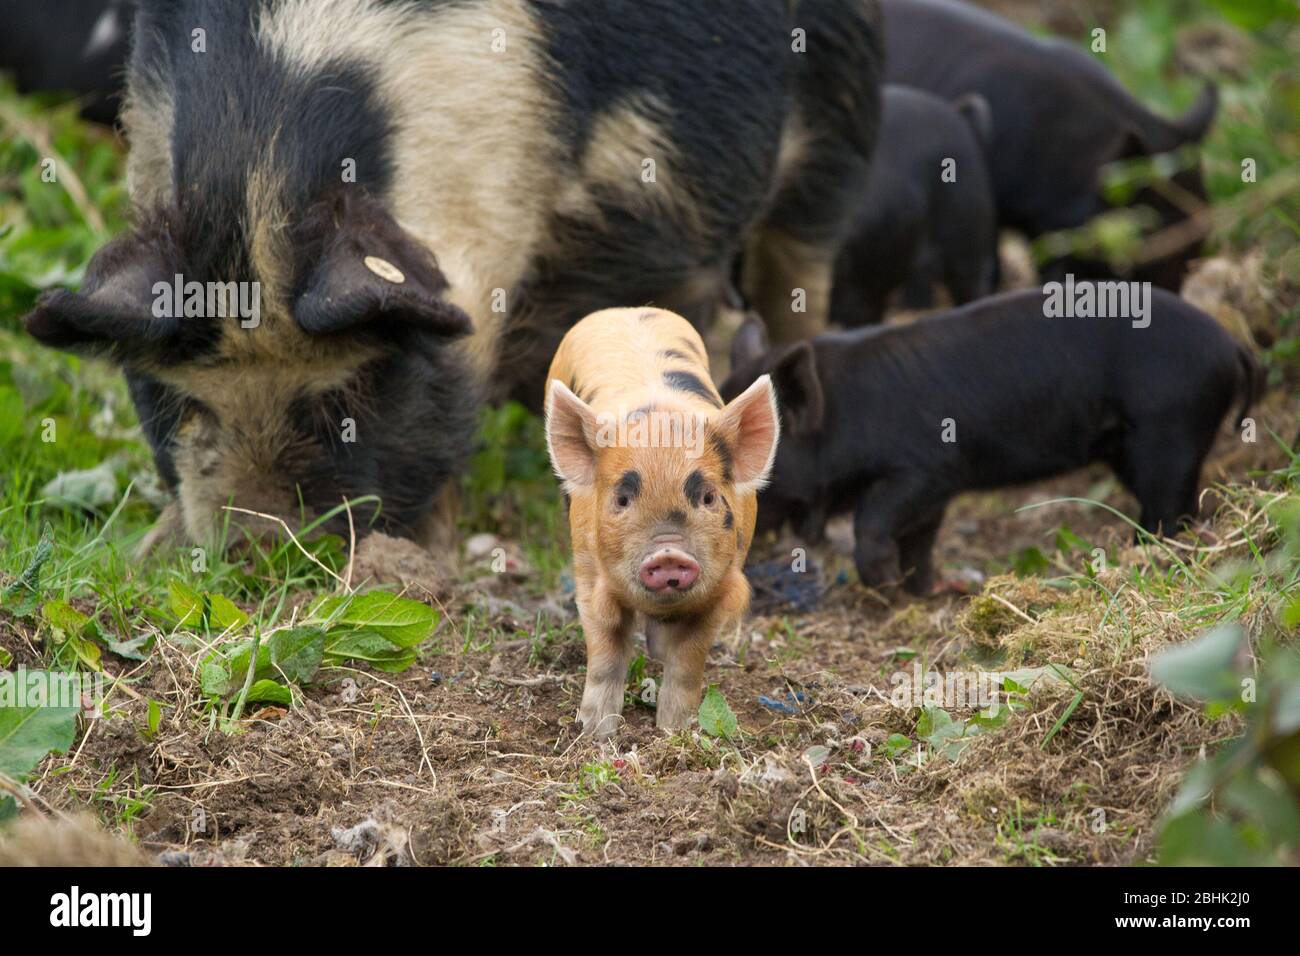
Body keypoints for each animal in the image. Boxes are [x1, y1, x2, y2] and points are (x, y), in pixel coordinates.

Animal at [22, 0, 883, 554]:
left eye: (355, 395)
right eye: (184, 402)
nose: (258, 546)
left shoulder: (650, 183)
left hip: (841, 80)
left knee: (802, 254)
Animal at [722, 290, 1258, 598]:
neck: (840, 419)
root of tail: (1232, 346)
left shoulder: (927, 468)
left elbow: (874, 521)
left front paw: (885, 588)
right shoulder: (933, 493)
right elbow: (920, 539)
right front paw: (922, 592)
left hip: (1170, 432)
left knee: (1172, 507)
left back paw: (1143, 554)